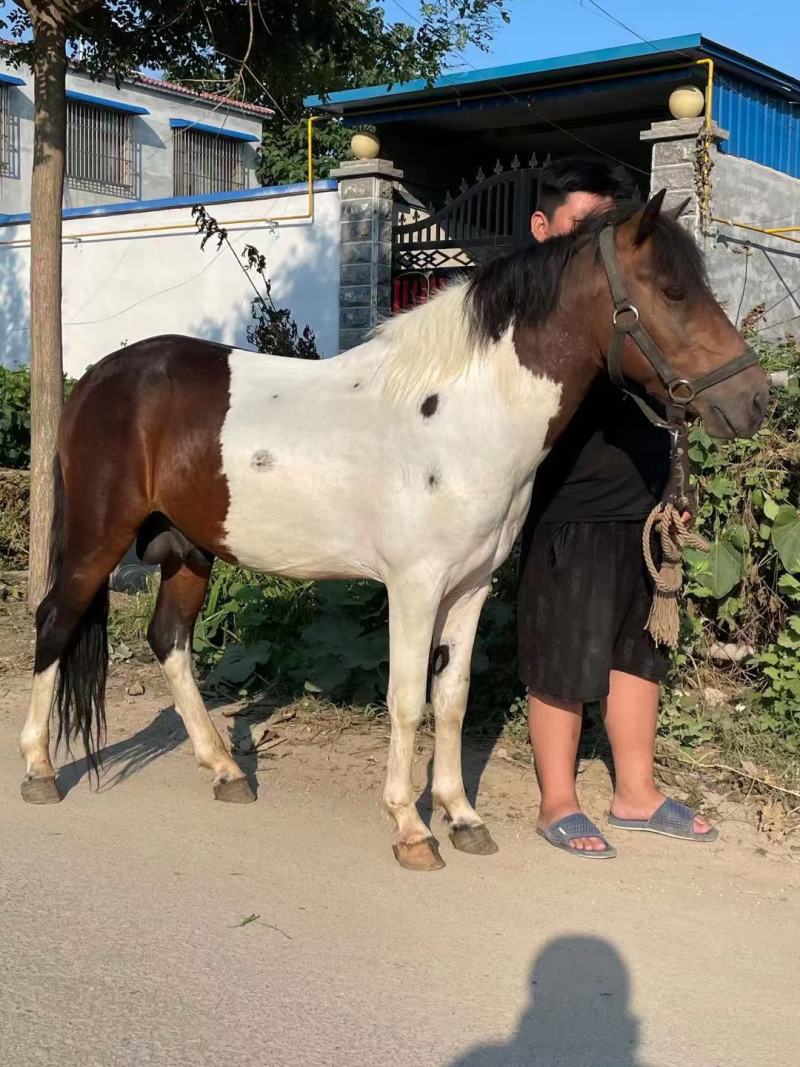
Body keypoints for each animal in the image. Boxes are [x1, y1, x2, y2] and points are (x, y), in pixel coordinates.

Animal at [19, 192, 768, 872]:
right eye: (672, 292)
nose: (754, 399)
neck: (463, 414)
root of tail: (98, 379)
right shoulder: (414, 586)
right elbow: (407, 701)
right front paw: (411, 827)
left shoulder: (469, 587)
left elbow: (453, 700)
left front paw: (461, 816)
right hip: (97, 538)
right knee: (55, 622)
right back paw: (39, 770)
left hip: (189, 549)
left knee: (168, 640)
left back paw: (226, 771)